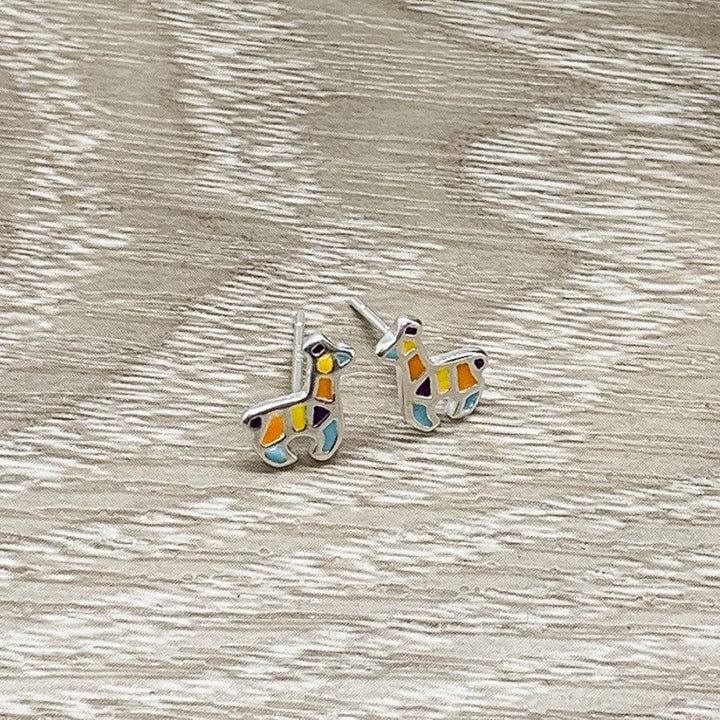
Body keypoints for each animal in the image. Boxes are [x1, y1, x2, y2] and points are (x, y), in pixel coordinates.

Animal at [242, 333, 355, 468]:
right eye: (332, 350)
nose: (351, 351)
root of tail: (253, 420)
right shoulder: (328, 424)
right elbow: (328, 442)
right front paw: (318, 454)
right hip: (272, 438)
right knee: (264, 447)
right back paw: (289, 459)